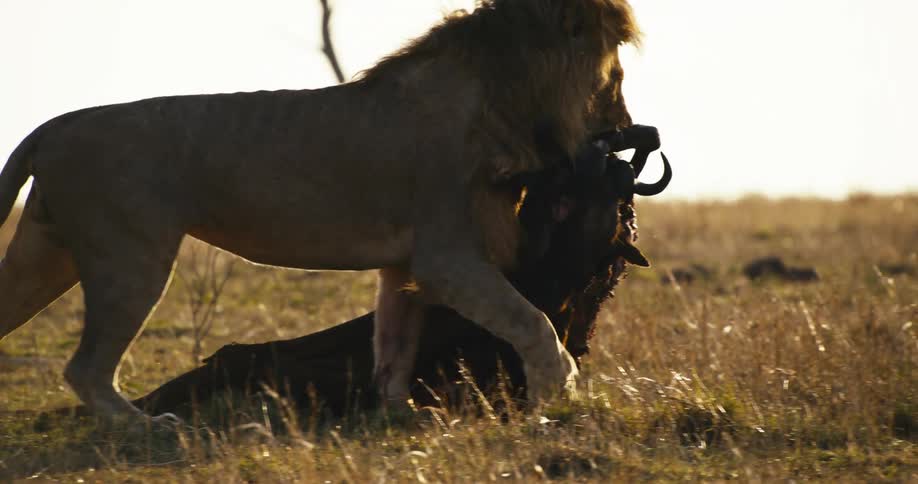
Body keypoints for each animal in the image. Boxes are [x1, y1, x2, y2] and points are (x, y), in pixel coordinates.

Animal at [0, 0, 642, 423]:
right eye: (616, 74)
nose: (628, 124)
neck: (506, 98)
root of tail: (53, 125)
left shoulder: (405, 265)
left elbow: (394, 345)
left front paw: (399, 418)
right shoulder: (448, 256)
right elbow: (532, 321)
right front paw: (560, 395)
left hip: (46, 254)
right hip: (130, 257)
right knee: (85, 368)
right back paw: (148, 428)